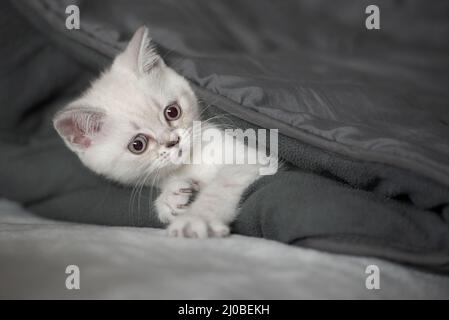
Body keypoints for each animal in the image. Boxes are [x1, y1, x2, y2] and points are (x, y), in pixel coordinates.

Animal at [52, 26, 270, 238]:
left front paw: (197, 219)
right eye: (138, 145)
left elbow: (221, 185)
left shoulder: (254, 158)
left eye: (172, 112)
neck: (190, 164)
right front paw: (169, 198)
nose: (173, 141)